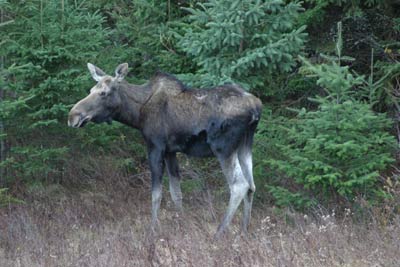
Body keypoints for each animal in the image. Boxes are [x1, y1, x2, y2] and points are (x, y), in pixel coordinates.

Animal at [69, 63, 262, 239]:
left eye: (103, 93)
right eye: (91, 90)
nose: (73, 116)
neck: (137, 114)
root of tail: (256, 108)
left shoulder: (155, 146)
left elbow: (156, 194)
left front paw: (152, 230)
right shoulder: (171, 151)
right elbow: (176, 192)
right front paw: (182, 225)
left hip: (223, 147)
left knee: (239, 185)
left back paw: (219, 233)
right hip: (245, 144)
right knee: (251, 185)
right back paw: (245, 231)